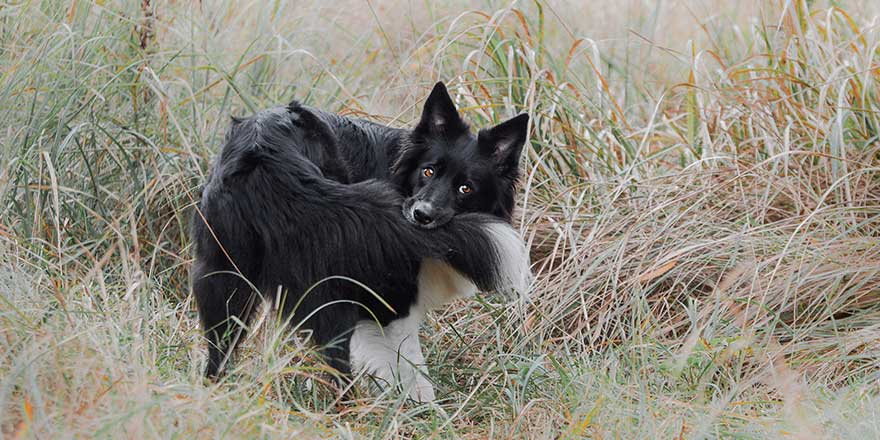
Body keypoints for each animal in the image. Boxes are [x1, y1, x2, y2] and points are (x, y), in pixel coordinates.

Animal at [194, 83, 528, 402]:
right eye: (428, 171)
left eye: (465, 188)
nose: (422, 215)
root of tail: (266, 154)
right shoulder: (388, 298)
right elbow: (409, 364)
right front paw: (421, 408)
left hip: (223, 271)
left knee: (221, 346)